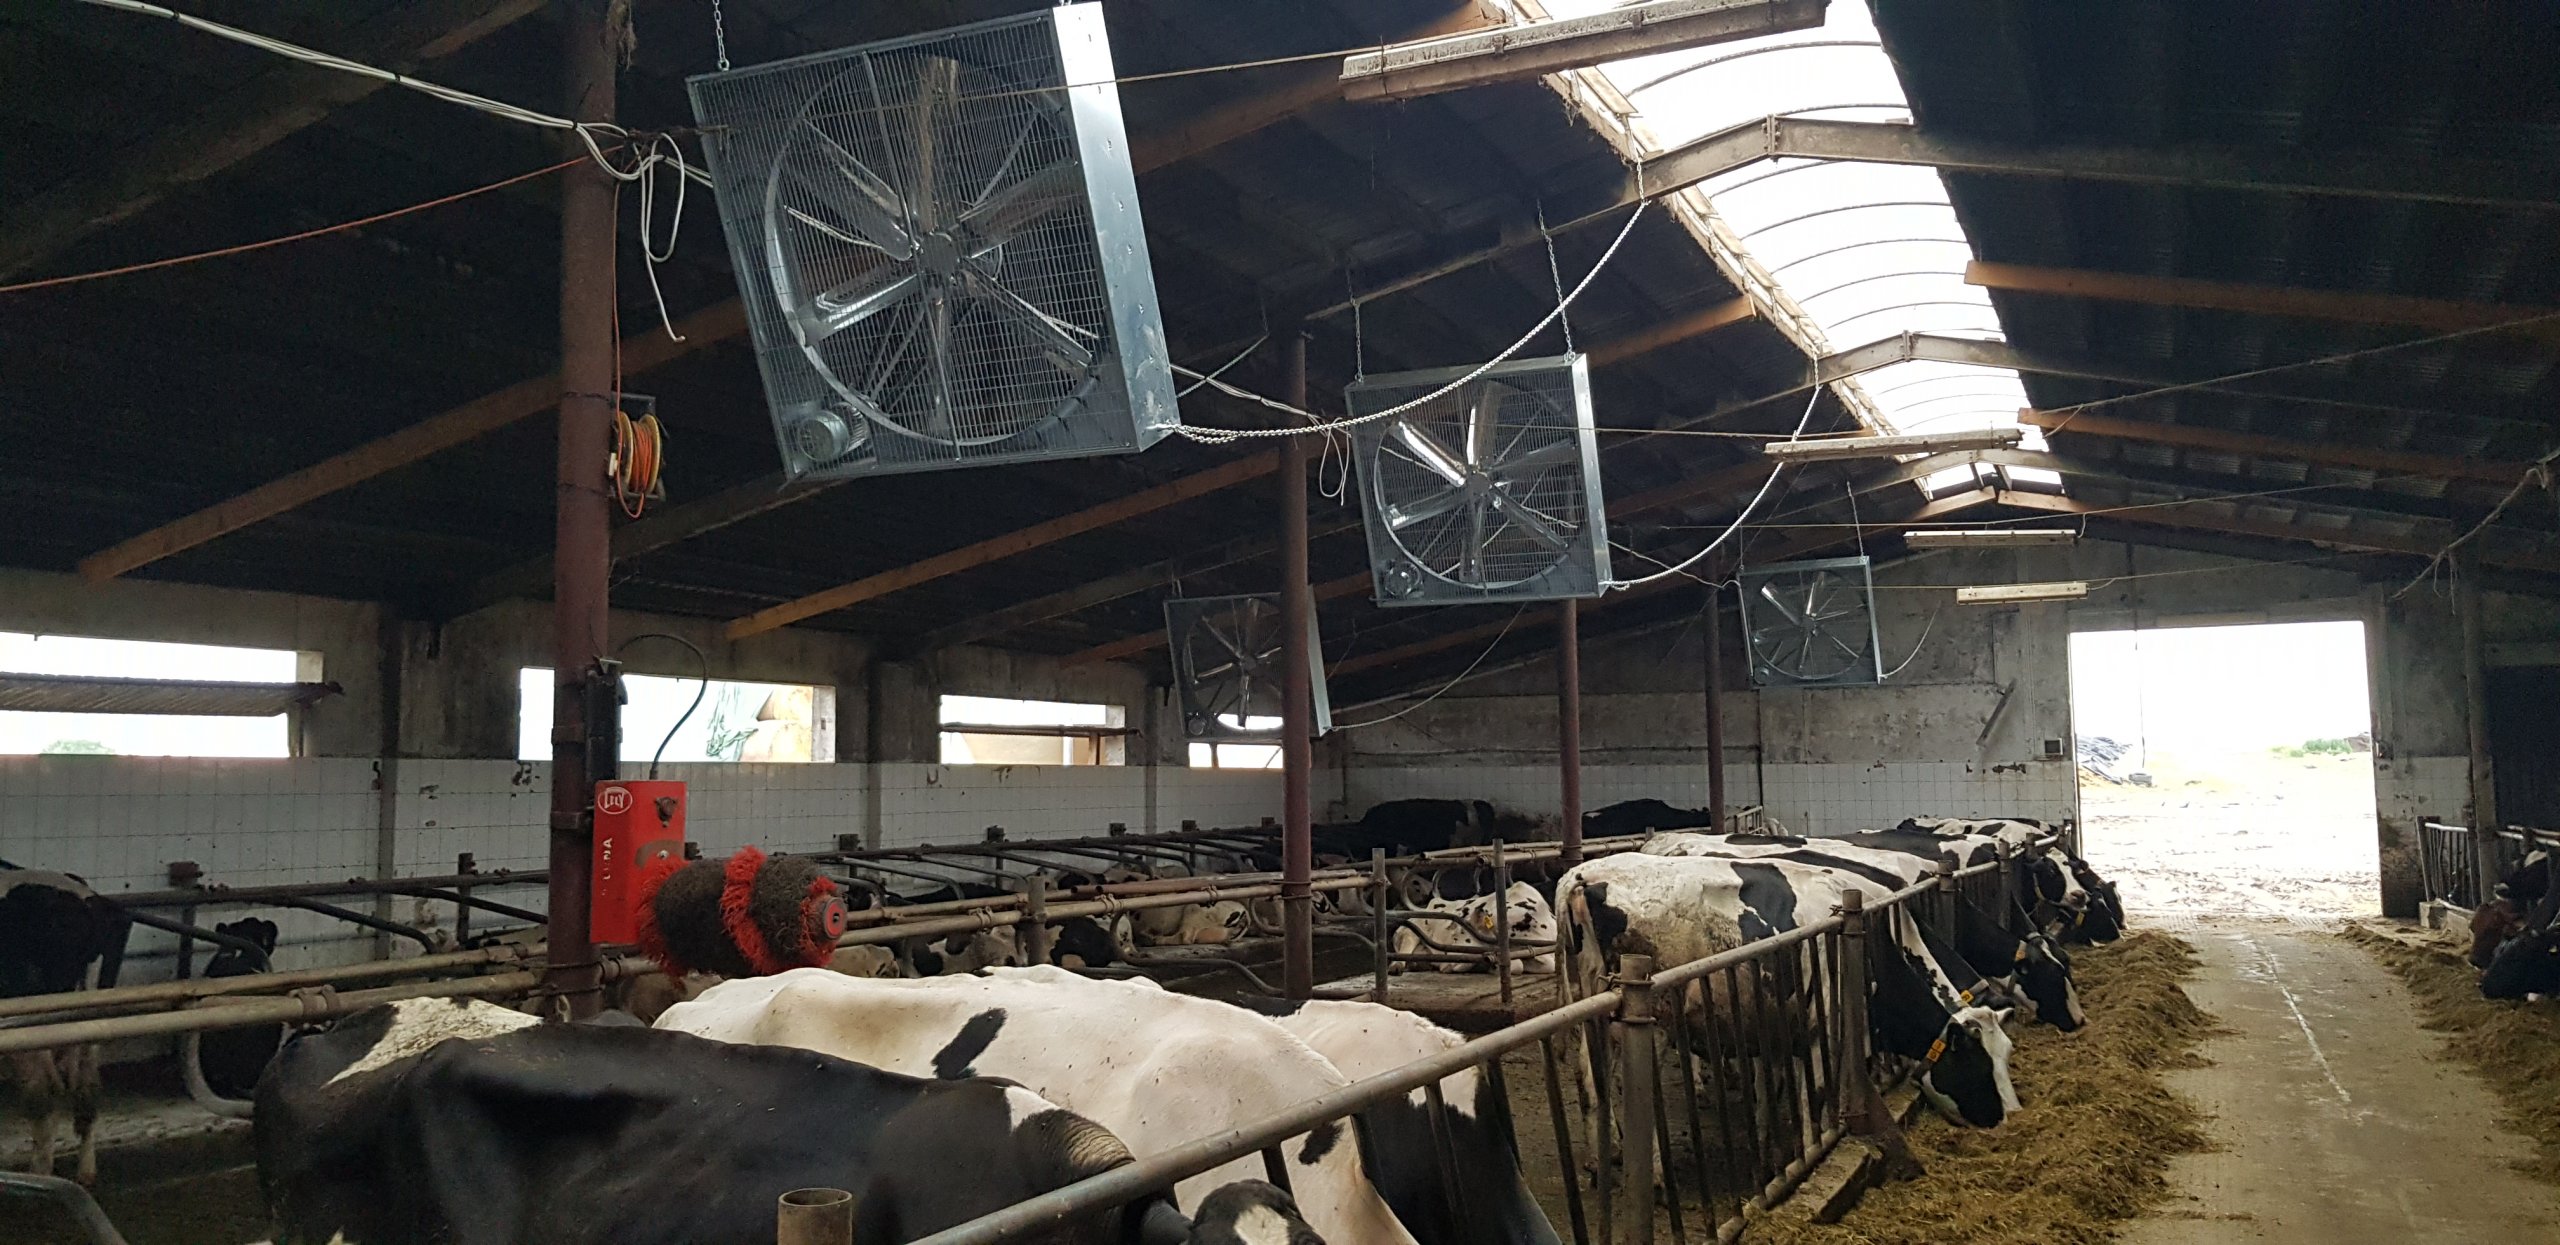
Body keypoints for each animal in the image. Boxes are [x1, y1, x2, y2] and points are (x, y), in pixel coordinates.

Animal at [1557, 853, 2017, 1129]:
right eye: (1977, 1063)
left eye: (2007, 1053)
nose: (2012, 1115)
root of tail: (1584, 876)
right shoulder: (1823, 1026)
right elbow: (1815, 1093)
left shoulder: (1776, 1018)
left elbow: (1772, 1081)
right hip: (1647, 1021)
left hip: (1585, 1010)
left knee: (1591, 1083)